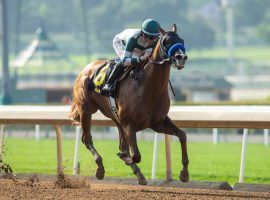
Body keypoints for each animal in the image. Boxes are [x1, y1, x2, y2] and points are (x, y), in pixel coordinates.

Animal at [68, 24, 189, 185]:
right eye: (166, 41)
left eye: (182, 40)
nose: (181, 57)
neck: (148, 88)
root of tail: (85, 69)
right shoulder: (129, 125)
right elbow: (135, 155)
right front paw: (125, 158)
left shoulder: (158, 122)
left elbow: (182, 135)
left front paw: (184, 173)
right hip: (86, 110)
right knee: (87, 139)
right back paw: (100, 168)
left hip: (115, 117)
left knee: (120, 144)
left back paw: (138, 174)